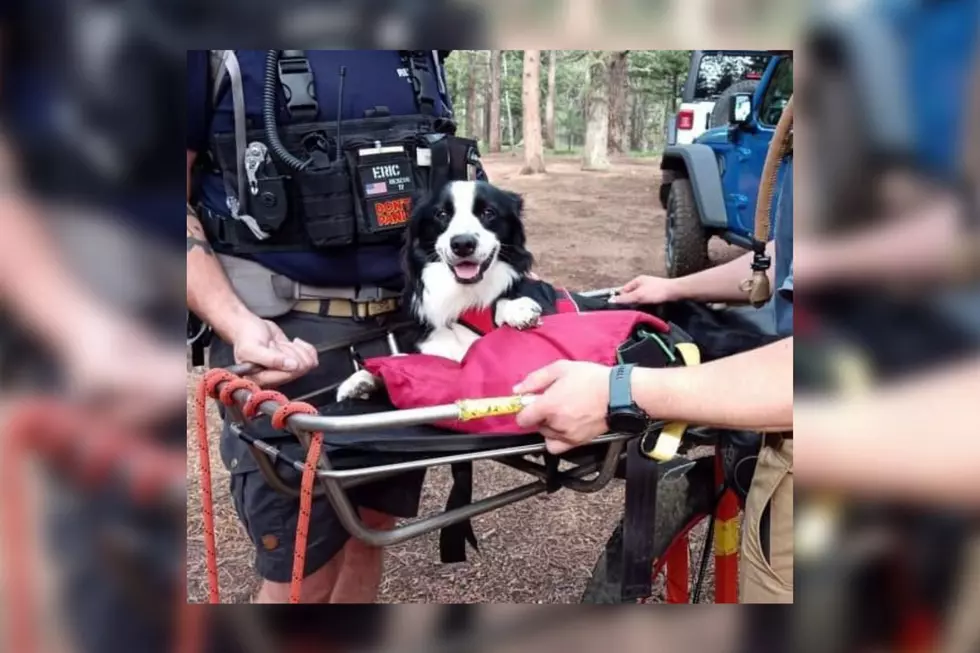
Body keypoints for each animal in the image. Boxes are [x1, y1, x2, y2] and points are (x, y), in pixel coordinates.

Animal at [334, 180, 552, 402]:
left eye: (488, 212)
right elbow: (402, 361)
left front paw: (516, 308)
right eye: (441, 214)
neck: (465, 296)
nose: (463, 244)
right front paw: (361, 379)